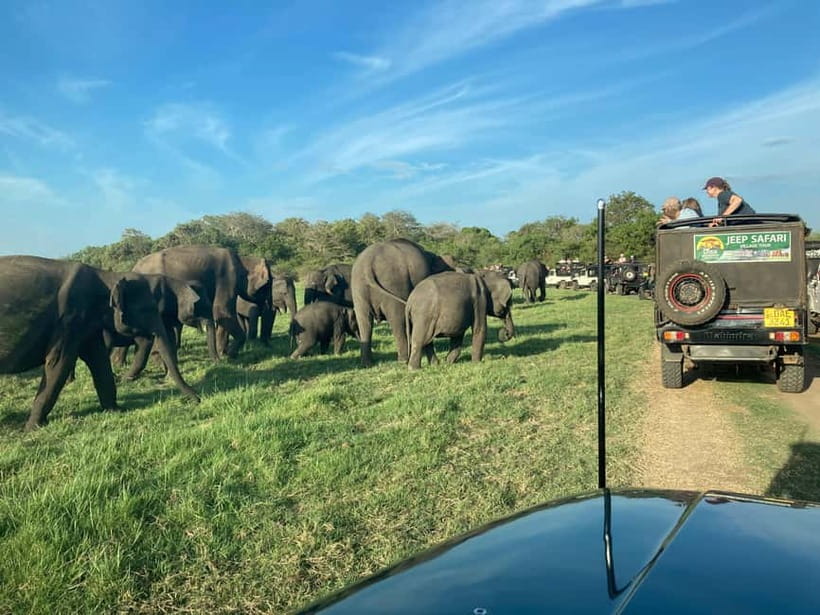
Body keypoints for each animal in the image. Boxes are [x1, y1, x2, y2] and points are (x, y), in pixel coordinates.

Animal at [0, 256, 200, 430]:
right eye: (147, 309)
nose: (197, 400)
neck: (106, 276)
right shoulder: (69, 320)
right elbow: (58, 363)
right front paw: (33, 427)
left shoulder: (86, 324)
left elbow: (99, 359)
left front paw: (116, 410)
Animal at [132, 246, 270, 358]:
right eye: (268, 284)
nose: (267, 345)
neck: (242, 260)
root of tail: (134, 268)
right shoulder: (227, 278)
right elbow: (221, 311)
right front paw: (230, 355)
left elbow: (222, 315)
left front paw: (224, 352)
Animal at [351, 238, 453, 366]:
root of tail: (367, 266)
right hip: (394, 283)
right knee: (397, 320)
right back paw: (403, 360)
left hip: (359, 289)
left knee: (364, 322)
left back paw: (367, 363)